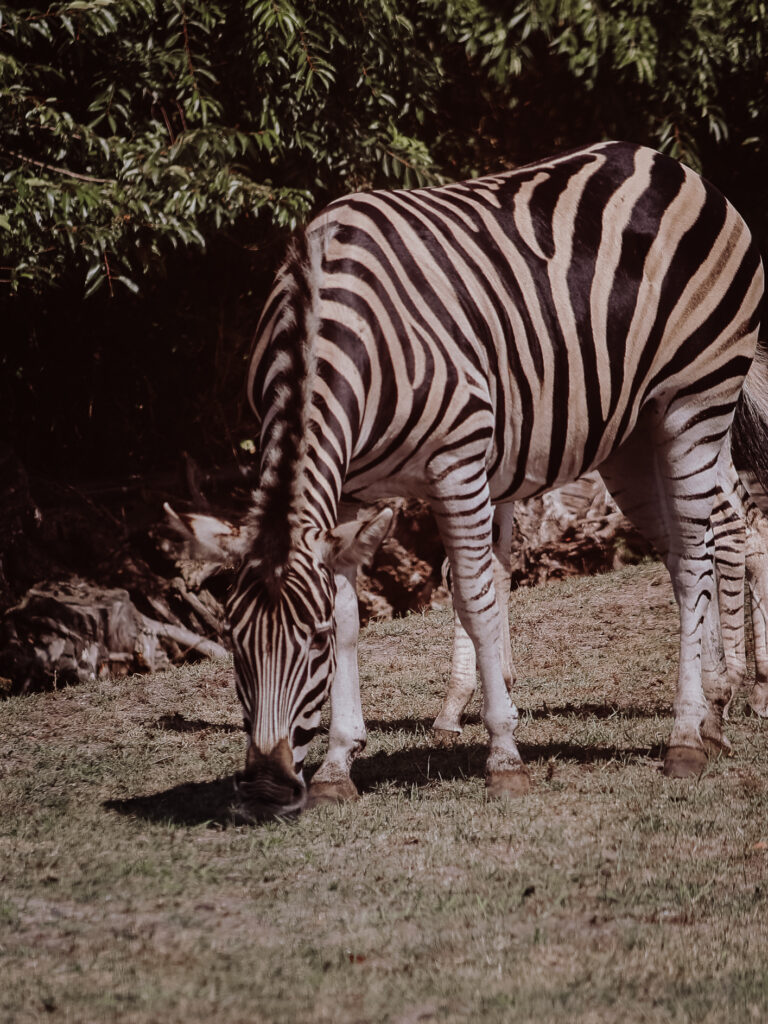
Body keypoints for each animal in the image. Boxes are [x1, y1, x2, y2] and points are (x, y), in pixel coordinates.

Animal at [185, 140, 766, 819]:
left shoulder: (460, 466)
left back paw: (687, 739)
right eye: (234, 643)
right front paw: (337, 764)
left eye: (313, 644)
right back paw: (708, 718)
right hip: (631, 435)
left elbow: (476, 594)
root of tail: (670, 164)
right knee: (686, 555)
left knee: (706, 549)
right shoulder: (348, 494)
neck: (326, 319)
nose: (267, 791)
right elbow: (358, 613)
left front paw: (504, 755)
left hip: (694, 404)